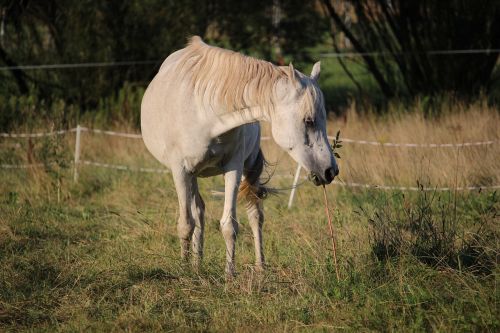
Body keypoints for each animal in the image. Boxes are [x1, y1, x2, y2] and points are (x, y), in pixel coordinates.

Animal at [141, 35, 338, 274]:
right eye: (308, 120)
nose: (330, 171)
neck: (205, 112)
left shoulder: (233, 168)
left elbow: (229, 225)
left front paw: (229, 274)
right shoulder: (180, 171)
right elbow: (186, 224)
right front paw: (184, 270)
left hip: (246, 169)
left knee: (255, 215)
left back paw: (259, 265)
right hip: (192, 175)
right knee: (198, 212)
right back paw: (196, 266)